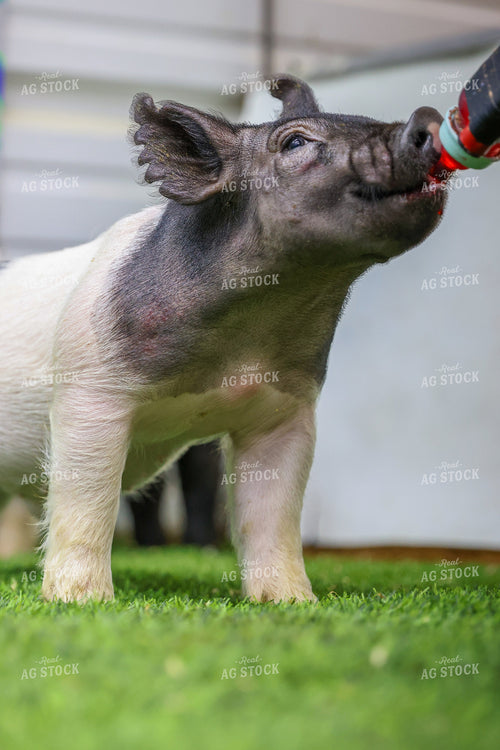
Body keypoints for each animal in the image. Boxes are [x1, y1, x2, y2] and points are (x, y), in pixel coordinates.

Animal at [0, 74, 446, 602]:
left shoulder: (286, 410)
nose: (428, 118)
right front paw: (83, 601)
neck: (241, 347)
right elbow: (88, 499)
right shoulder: (88, 387)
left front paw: (293, 602)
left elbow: (273, 513)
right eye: (295, 143)